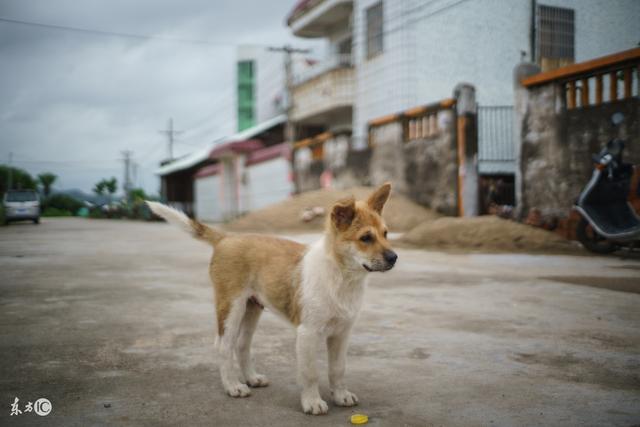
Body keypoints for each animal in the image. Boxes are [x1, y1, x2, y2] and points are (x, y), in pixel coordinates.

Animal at [146, 183, 398, 414]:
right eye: (366, 238)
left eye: (386, 234)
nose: (394, 257)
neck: (341, 277)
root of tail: (227, 237)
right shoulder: (307, 333)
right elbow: (310, 373)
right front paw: (312, 402)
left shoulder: (342, 334)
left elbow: (338, 369)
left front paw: (341, 395)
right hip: (231, 308)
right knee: (224, 346)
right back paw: (233, 386)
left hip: (252, 308)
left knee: (242, 345)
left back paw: (251, 378)